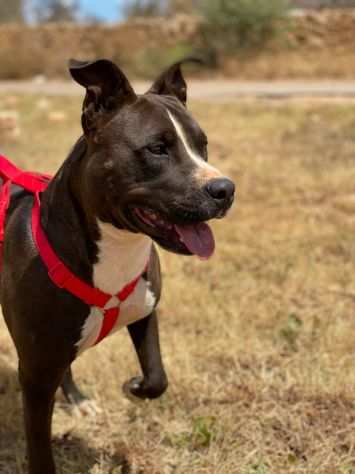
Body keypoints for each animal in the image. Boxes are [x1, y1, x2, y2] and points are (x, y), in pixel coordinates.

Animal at [0, 60, 236, 474]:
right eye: (157, 149)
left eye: (202, 145)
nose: (225, 190)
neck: (117, 245)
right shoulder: (36, 369)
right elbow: (39, 446)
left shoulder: (145, 311)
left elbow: (157, 376)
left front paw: (135, 387)